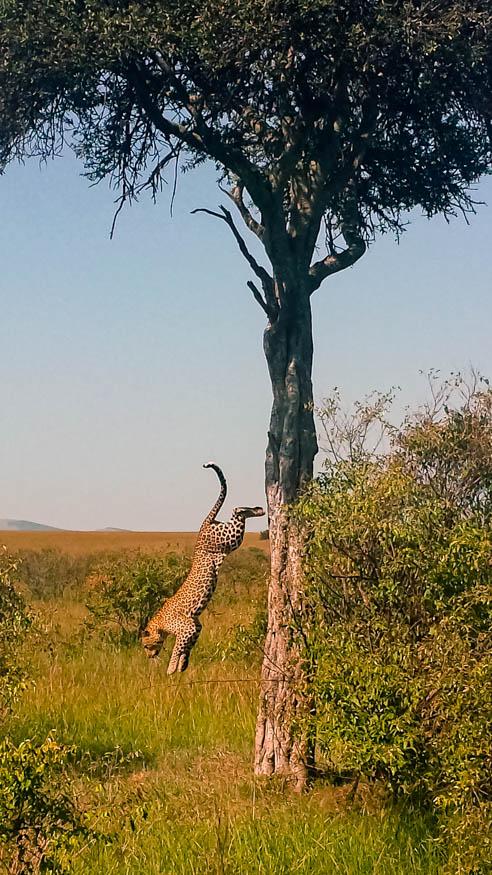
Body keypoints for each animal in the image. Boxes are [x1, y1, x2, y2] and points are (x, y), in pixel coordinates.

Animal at [141, 466, 266, 676]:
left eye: (145, 645)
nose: (149, 657)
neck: (159, 625)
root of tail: (203, 526)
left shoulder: (187, 627)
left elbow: (177, 647)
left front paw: (171, 668)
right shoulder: (196, 625)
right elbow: (187, 647)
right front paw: (182, 665)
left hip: (229, 538)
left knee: (236, 512)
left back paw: (256, 510)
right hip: (228, 539)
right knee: (237, 514)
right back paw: (258, 509)